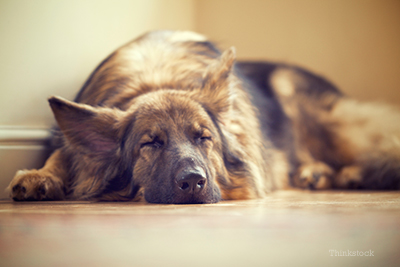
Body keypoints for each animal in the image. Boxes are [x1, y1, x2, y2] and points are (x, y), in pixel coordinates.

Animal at [7, 30, 400, 204]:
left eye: (204, 138)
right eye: (150, 143)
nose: (193, 182)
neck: (156, 79)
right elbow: (62, 154)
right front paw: (39, 176)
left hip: (300, 100)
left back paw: (338, 173)